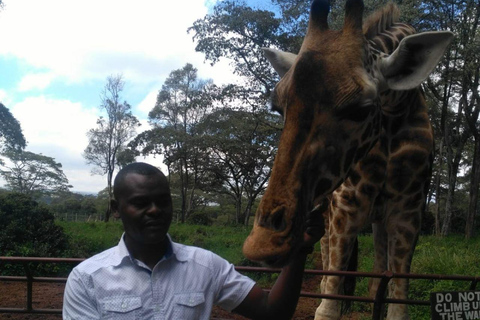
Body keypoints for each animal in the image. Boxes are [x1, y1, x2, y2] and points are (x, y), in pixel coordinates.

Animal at [244, 0, 454, 320]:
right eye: (279, 108)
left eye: (360, 109)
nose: (262, 245)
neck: (394, 113)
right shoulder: (346, 208)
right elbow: (328, 305)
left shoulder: (408, 213)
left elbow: (395, 303)